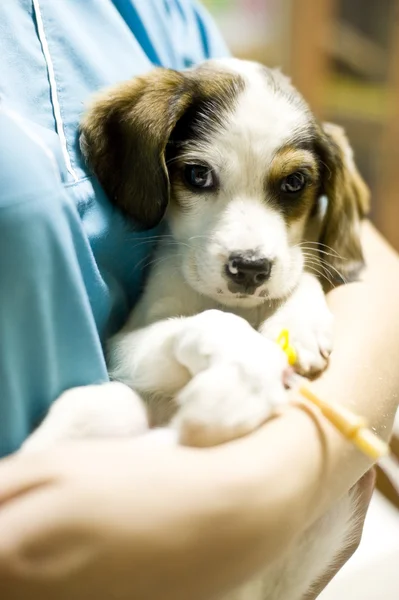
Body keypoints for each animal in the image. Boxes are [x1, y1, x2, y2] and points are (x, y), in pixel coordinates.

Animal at [24, 58, 368, 596]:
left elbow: (303, 274)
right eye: (198, 174)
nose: (249, 269)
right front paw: (245, 370)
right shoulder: (124, 343)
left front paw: (298, 321)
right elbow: (210, 321)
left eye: (294, 183)